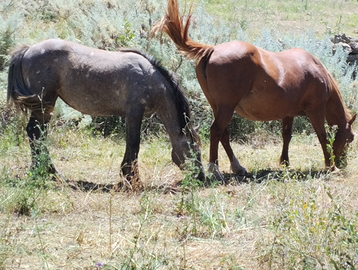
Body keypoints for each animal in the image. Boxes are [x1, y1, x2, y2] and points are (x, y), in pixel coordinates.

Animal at [7, 38, 204, 186]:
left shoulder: (130, 115)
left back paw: (47, 171)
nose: (202, 178)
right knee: (35, 133)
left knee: (37, 134)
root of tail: (27, 50)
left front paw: (127, 175)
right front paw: (132, 179)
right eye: (193, 149)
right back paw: (45, 171)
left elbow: (130, 144)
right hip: (44, 103)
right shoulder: (135, 112)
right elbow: (134, 144)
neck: (151, 78)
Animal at [153, 0, 356, 181]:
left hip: (219, 107)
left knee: (223, 134)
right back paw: (215, 170)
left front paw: (285, 162)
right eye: (351, 138)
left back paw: (237, 167)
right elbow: (322, 136)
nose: (343, 162)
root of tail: (211, 49)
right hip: (227, 107)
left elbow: (286, 136)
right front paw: (331, 166)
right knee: (216, 131)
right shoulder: (316, 110)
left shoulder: (288, 114)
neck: (317, 70)